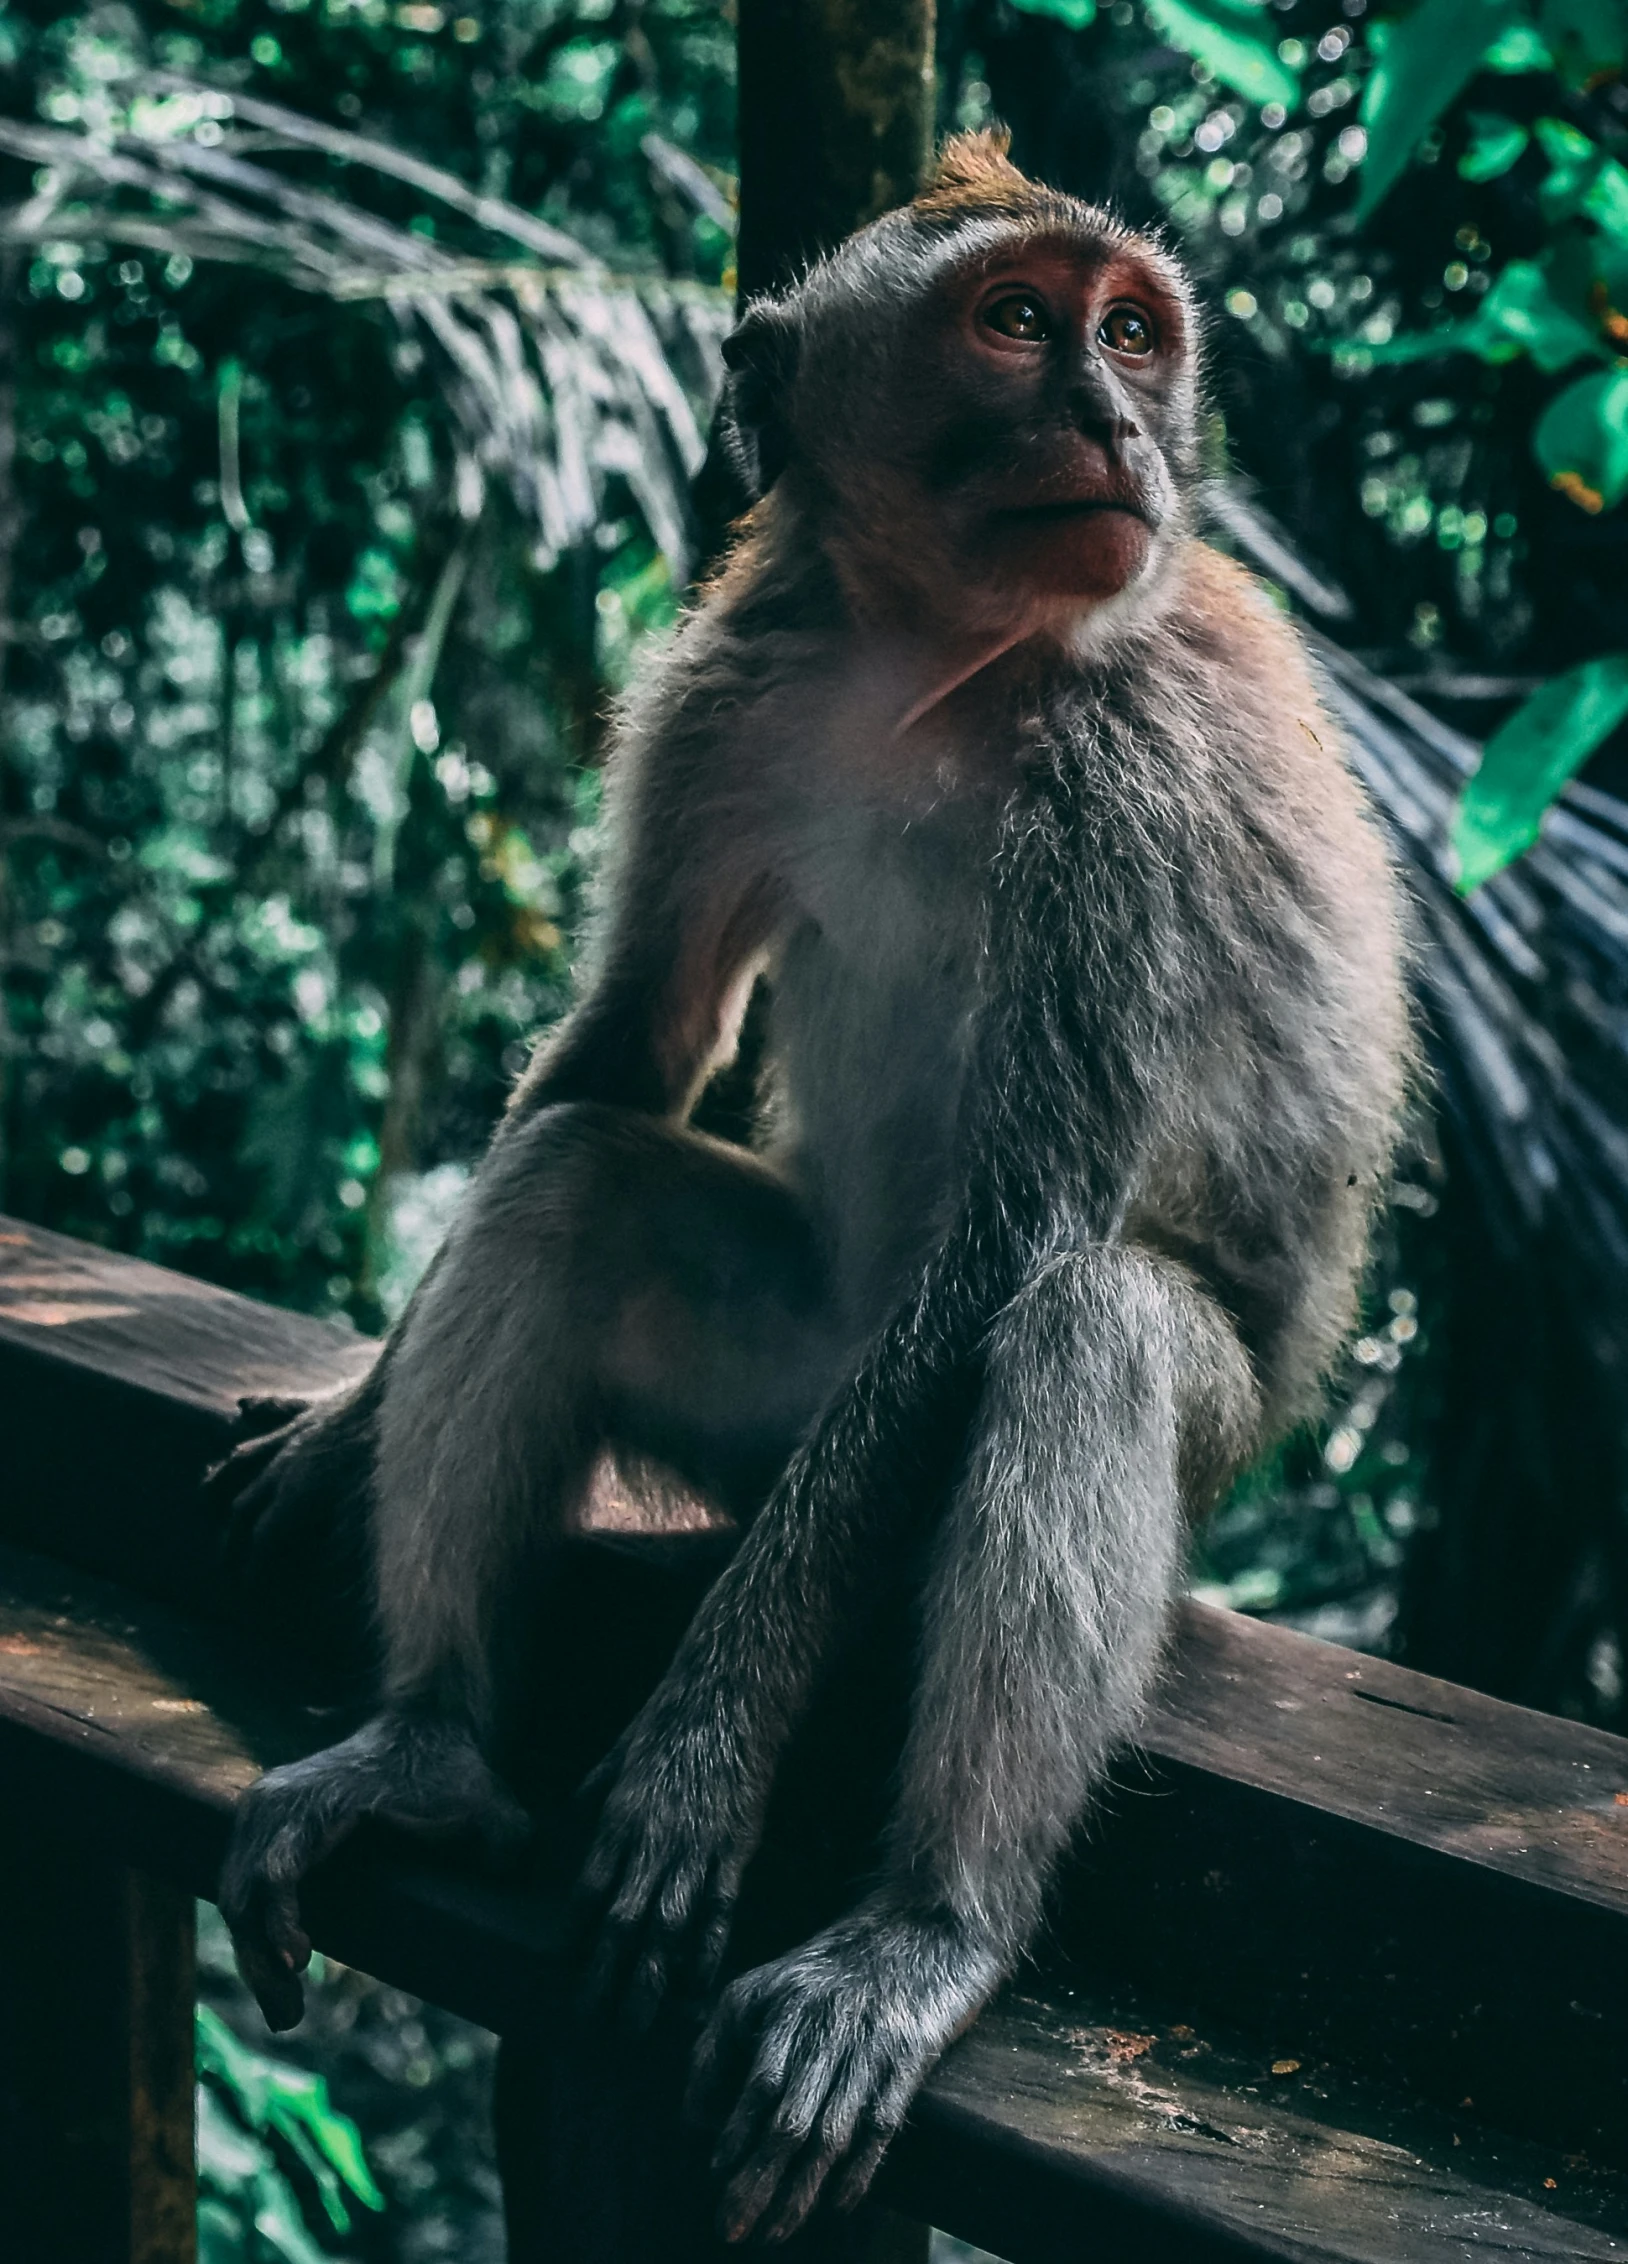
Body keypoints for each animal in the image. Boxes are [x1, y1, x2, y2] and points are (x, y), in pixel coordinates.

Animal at [212, 136, 1412, 2245]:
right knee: (574, 1179)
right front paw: (344, 1419)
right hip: (777, 1406)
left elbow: (1020, 1232)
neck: (939, 658)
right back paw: (427, 1742)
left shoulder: (1128, 779)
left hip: (1022, 1460)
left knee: (1084, 1324)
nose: (1116, 424)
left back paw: (928, 1926)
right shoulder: (726, 680)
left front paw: (701, 1753)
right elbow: (628, 1042)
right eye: (1016, 321)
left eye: (1132, 332)